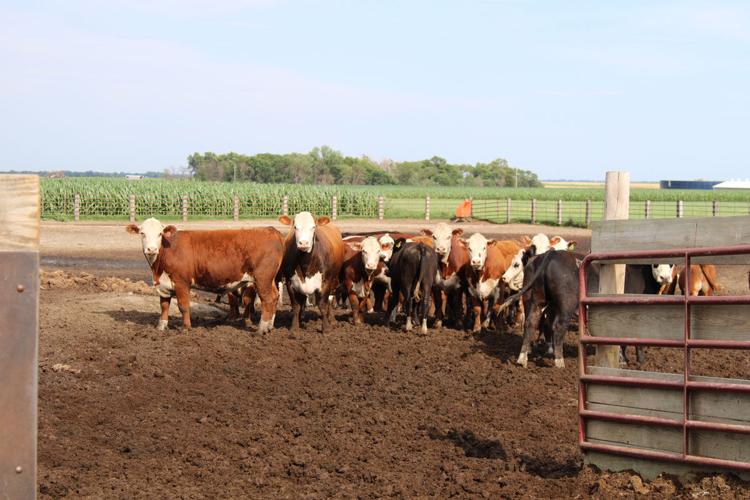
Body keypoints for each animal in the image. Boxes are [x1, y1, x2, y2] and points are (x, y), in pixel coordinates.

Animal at [126, 218, 283, 333]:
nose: (151, 249)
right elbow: (164, 306)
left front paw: (186, 328)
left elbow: (183, 306)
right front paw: (161, 327)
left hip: (262, 278)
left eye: (160, 233)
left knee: (268, 299)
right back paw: (269, 326)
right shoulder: (164, 285)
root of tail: (270, 230)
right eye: (142, 233)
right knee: (275, 297)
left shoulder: (181, 282)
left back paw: (261, 329)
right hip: (269, 280)